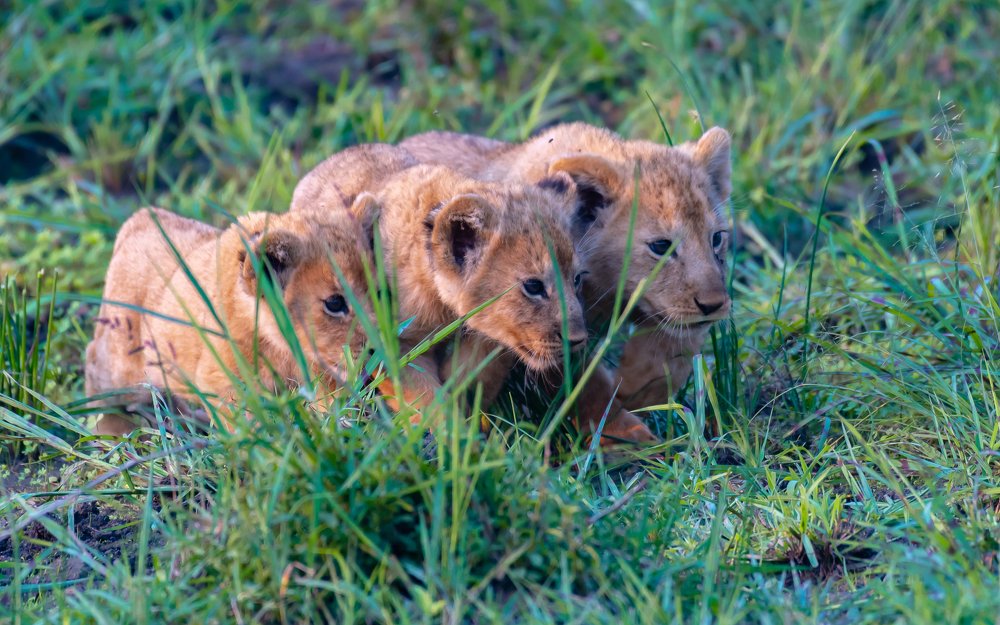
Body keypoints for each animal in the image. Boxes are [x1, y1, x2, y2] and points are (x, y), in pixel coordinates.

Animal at [85, 207, 375, 435]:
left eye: (378, 290)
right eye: (334, 303)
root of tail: (138, 219)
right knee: (95, 366)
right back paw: (110, 429)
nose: (375, 349)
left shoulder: (324, 374)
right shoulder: (222, 382)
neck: (281, 346)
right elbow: (247, 424)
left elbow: (334, 405)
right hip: (122, 366)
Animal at [291, 144, 657, 442]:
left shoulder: (490, 345)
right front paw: (459, 447)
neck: (445, 307)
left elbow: (468, 383)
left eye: (577, 279)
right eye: (533, 287)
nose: (578, 340)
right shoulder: (391, 347)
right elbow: (429, 401)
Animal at [401, 124, 732, 412]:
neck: (607, 288)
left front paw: (636, 396)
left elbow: (667, 361)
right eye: (661, 247)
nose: (713, 305)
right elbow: (589, 390)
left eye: (717, 239)